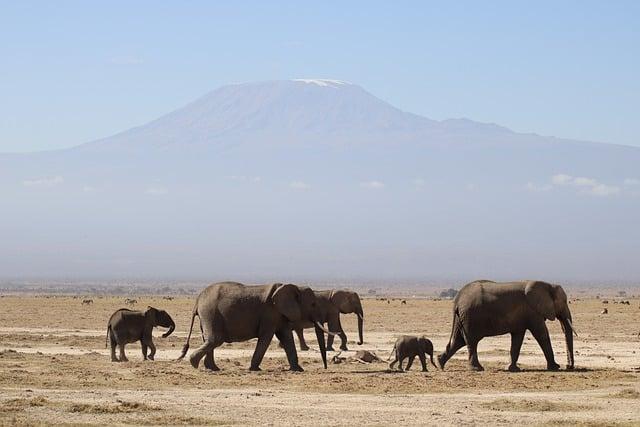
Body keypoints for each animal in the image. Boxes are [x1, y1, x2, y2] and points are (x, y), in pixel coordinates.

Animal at [176, 284, 336, 372]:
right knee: (215, 339)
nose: (326, 367)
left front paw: (298, 370)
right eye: (313, 304)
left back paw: (212, 368)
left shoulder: (279, 315)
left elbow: (286, 337)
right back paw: (194, 364)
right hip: (210, 313)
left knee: (210, 340)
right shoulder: (270, 313)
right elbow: (266, 337)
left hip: (208, 315)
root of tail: (197, 300)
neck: (294, 287)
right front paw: (254, 369)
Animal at [438, 280, 576, 372]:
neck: (548, 285)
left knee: (459, 341)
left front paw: (512, 369)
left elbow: (517, 338)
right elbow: (541, 334)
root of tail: (457, 300)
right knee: (471, 341)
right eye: (564, 302)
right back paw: (477, 369)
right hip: (470, 317)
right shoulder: (533, 312)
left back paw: (439, 363)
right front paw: (555, 367)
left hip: (462, 318)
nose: (569, 366)